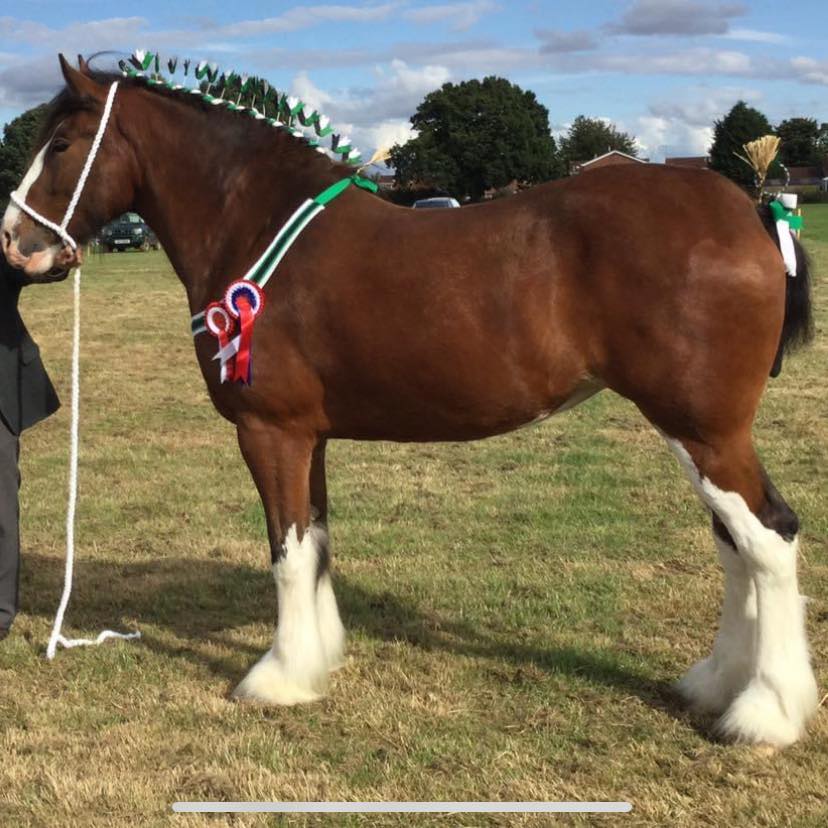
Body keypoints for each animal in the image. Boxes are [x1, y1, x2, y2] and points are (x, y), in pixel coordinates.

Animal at [0, 56, 816, 744]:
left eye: (63, 143)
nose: (13, 242)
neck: (259, 224)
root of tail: (748, 212)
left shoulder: (271, 431)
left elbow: (286, 552)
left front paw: (277, 678)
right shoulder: (310, 437)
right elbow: (315, 542)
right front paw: (317, 661)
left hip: (702, 430)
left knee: (768, 537)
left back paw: (766, 713)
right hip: (704, 433)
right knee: (735, 543)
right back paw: (716, 684)